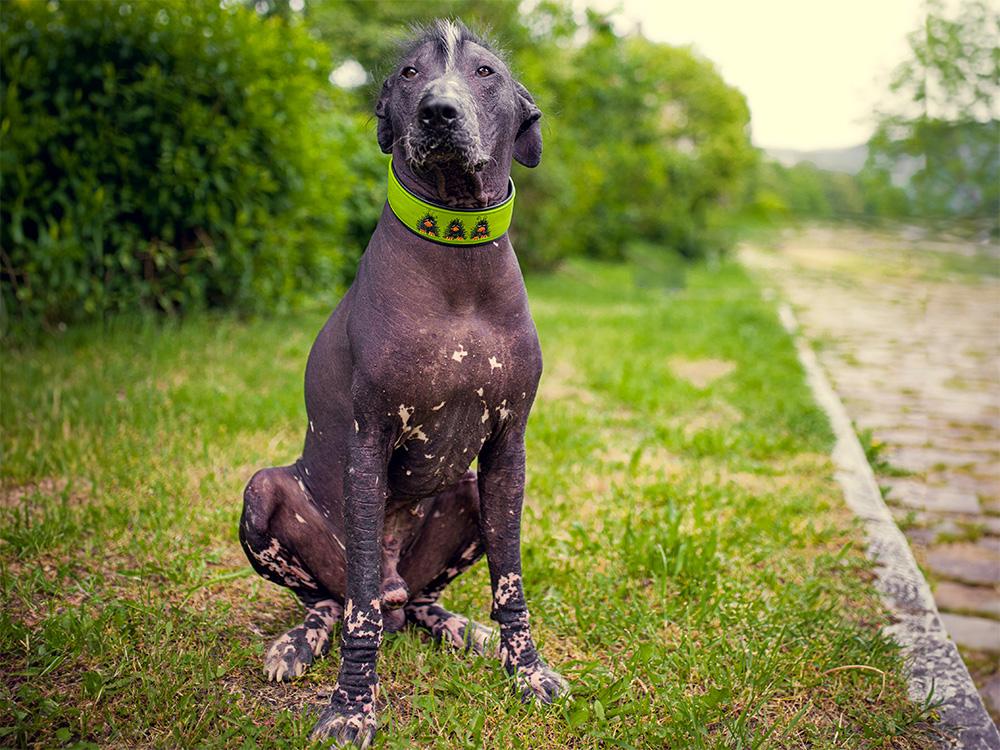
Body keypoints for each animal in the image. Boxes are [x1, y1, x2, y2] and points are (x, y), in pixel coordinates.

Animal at [234, 20, 564, 748]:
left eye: (486, 73)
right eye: (411, 74)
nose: (438, 111)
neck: (458, 257)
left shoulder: (509, 453)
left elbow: (511, 585)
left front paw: (523, 669)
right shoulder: (367, 450)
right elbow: (355, 613)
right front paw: (352, 705)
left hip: (465, 495)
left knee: (418, 602)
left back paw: (459, 628)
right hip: (264, 495)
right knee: (336, 602)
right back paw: (298, 642)